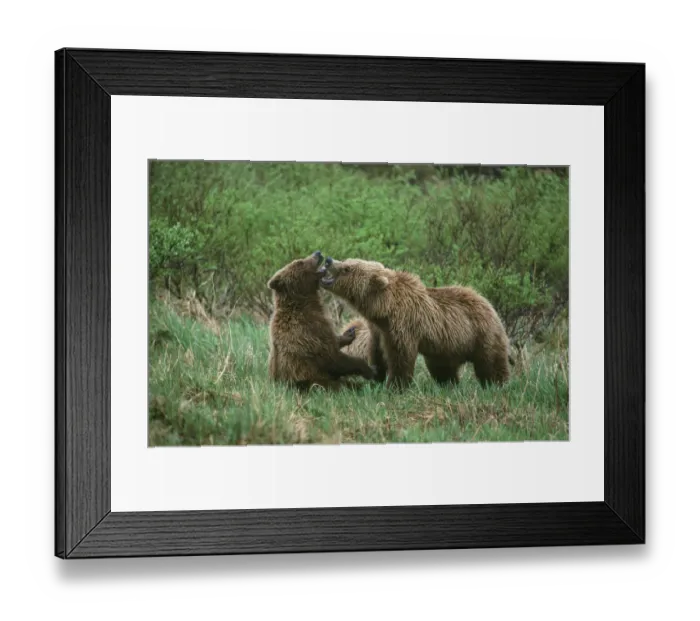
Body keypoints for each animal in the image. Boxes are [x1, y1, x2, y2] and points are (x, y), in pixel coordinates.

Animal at [266, 251, 377, 391]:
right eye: (300, 262)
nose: (317, 253)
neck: (305, 303)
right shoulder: (307, 331)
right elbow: (331, 358)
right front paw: (369, 369)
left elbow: (333, 341)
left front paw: (349, 334)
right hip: (313, 382)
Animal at [321, 257, 511, 390]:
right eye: (346, 260)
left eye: (347, 268)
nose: (329, 260)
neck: (384, 309)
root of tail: (487, 303)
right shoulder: (378, 329)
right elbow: (377, 352)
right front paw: (376, 375)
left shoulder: (403, 324)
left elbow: (401, 357)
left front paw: (395, 386)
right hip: (446, 348)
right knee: (443, 369)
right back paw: (449, 384)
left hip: (481, 333)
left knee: (491, 362)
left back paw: (497, 384)